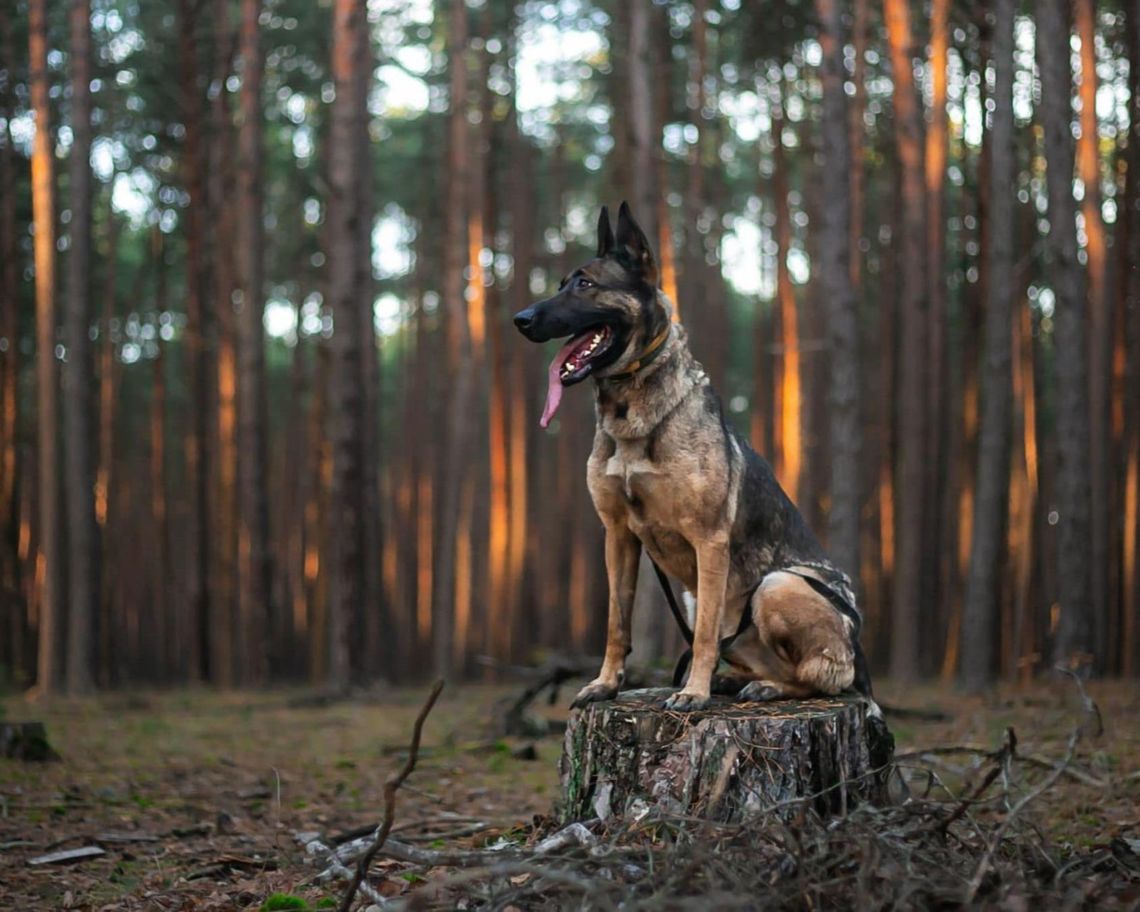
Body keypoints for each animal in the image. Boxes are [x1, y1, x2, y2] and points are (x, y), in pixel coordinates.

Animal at [515, 201, 870, 711]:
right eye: (562, 282)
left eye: (585, 284)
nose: (520, 319)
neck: (632, 412)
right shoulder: (618, 536)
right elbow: (616, 623)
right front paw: (607, 683)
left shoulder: (709, 542)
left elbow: (702, 636)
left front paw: (694, 691)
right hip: (697, 597)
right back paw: (736, 680)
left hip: (778, 585)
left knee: (821, 677)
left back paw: (764, 686)